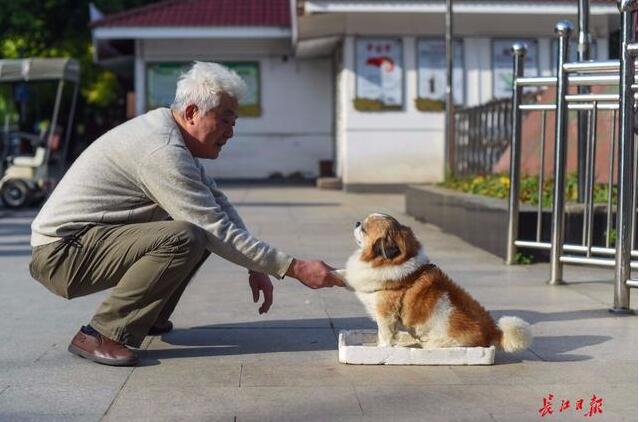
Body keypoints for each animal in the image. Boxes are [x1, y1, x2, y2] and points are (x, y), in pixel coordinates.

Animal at [342, 213, 532, 352]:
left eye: (364, 229)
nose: (357, 222)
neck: (390, 262)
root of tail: (493, 331)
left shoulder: (386, 314)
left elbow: (385, 335)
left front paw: (381, 349)